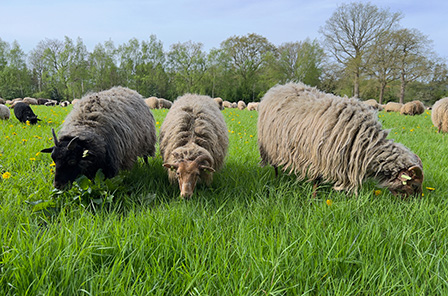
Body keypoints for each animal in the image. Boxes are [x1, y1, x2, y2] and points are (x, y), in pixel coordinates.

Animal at [260, 82, 424, 197]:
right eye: (414, 185)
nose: (415, 203)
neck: (367, 142)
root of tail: (280, 86)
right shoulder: (319, 155)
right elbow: (316, 180)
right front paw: (314, 197)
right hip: (270, 145)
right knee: (274, 165)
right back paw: (276, 178)